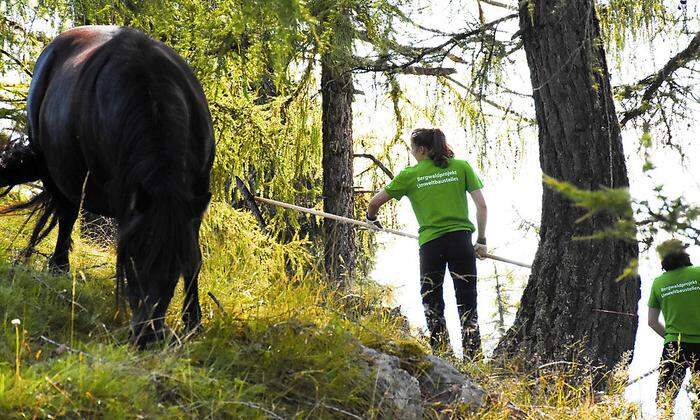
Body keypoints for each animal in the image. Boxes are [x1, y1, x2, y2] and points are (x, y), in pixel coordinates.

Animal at [0, 25, 216, 344]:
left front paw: (193, 322)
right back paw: (59, 270)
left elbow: (194, 259)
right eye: (133, 259)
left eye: (174, 264)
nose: (147, 336)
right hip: (56, 172)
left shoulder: (193, 201)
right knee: (66, 217)